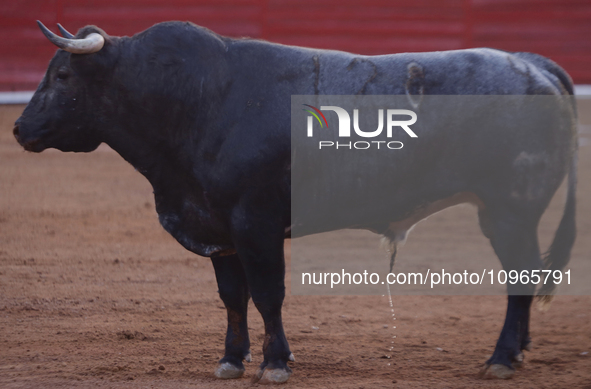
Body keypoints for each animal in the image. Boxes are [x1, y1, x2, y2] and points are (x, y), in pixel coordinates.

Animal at [12, 21, 580, 382]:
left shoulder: (255, 224)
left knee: (521, 274)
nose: (19, 129)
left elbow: (268, 295)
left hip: (509, 210)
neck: (194, 99)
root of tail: (528, 64)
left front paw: (275, 364)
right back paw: (518, 353)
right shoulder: (219, 230)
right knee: (526, 274)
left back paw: (502, 358)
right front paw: (230, 360)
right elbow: (232, 297)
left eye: (62, 76)